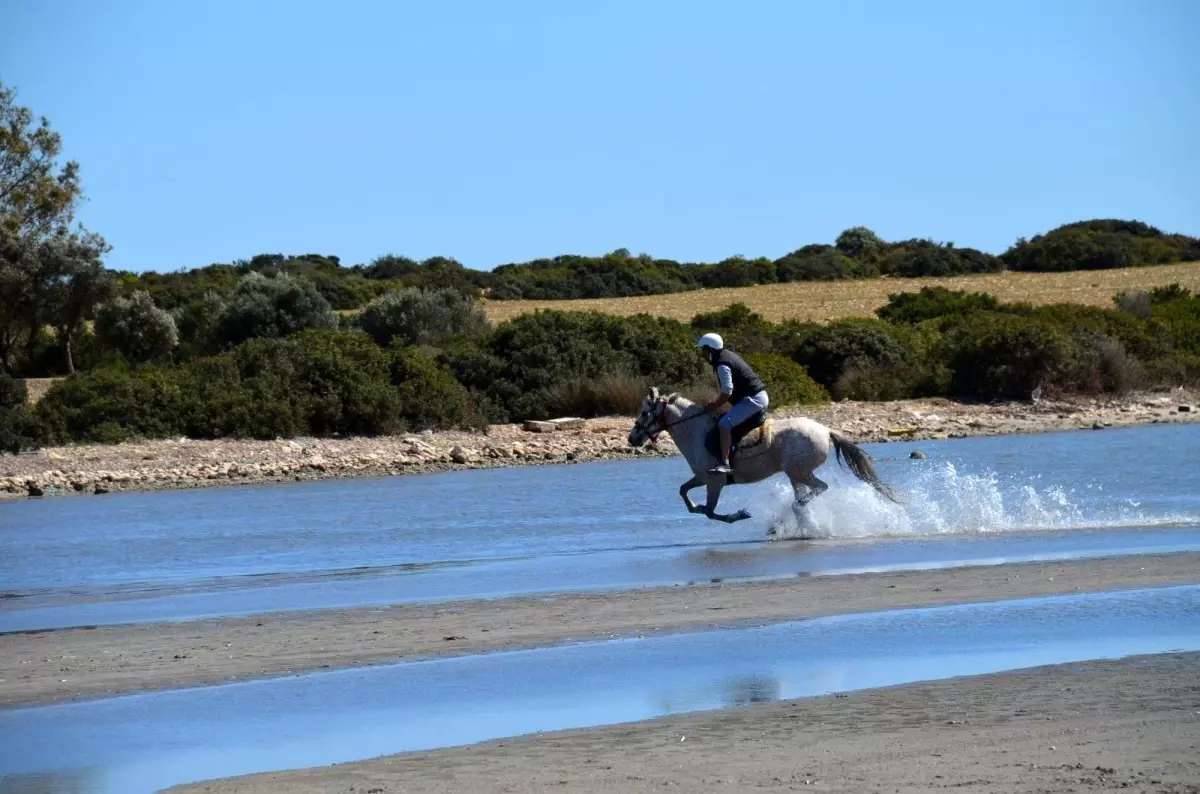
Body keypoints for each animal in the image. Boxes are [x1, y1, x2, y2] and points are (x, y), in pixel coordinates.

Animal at [628, 386, 902, 525]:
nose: (632, 439)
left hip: (799, 471)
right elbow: (685, 494)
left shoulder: (715, 482)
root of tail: (826, 430)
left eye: (644, 413)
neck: (695, 430)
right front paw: (697, 506)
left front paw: (737, 515)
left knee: (819, 488)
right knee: (806, 494)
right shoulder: (703, 478)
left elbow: (710, 511)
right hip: (796, 474)